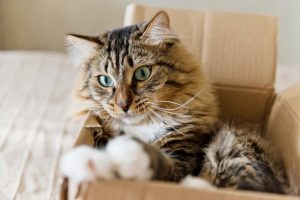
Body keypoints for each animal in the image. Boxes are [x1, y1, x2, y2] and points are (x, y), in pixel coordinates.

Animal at [59, 10, 292, 194]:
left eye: (143, 73)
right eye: (105, 80)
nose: (124, 105)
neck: (142, 128)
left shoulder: (183, 158)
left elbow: (156, 161)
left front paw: (126, 153)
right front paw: (85, 162)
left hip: (231, 144)